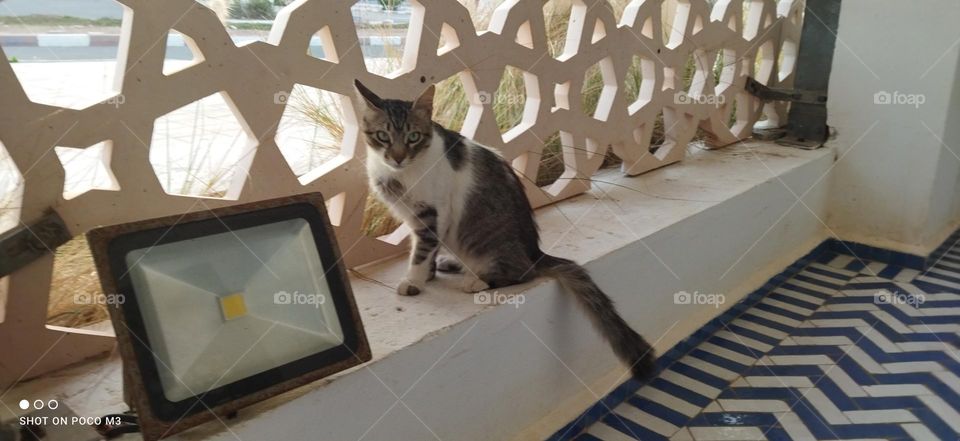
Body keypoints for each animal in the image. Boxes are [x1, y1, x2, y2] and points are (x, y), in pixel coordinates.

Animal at [356, 80, 656, 378]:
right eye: (383, 136)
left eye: (413, 137)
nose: (397, 158)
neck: (400, 176)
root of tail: (535, 252)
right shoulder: (419, 218)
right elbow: (427, 249)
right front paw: (427, 275)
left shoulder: (432, 212)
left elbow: (421, 251)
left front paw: (413, 281)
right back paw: (453, 265)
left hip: (486, 243)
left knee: (522, 272)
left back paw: (477, 280)